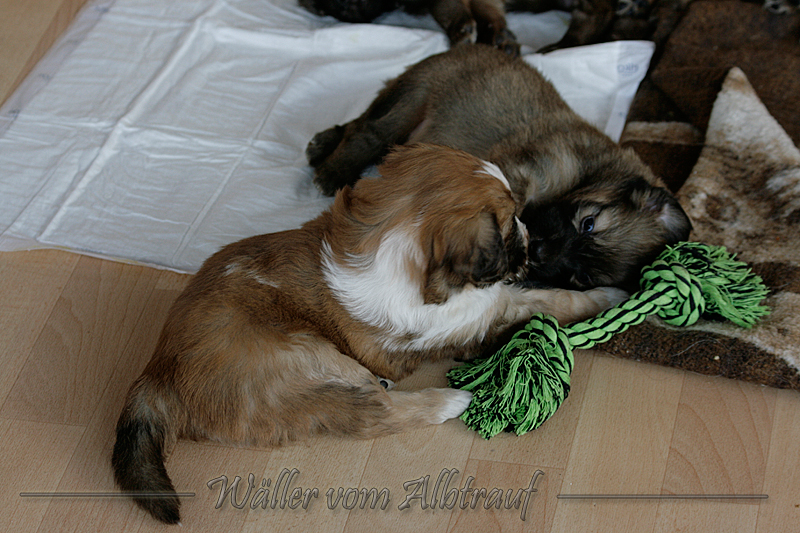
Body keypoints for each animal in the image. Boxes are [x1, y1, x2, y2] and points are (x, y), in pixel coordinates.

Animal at [111, 144, 626, 524]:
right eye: (507, 222)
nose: (529, 234)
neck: (396, 239)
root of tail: (157, 373)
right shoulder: (473, 316)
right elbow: (544, 301)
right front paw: (613, 295)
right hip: (301, 359)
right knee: (371, 414)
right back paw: (446, 401)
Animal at [307, 44, 692, 291]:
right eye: (588, 224)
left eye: (581, 279)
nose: (539, 253)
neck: (588, 172)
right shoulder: (524, 171)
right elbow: (504, 207)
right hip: (415, 98)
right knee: (367, 131)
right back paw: (334, 170)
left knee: (362, 123)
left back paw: (323, 145)